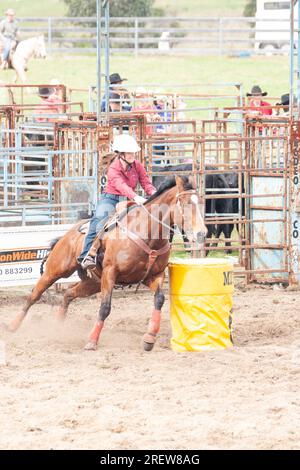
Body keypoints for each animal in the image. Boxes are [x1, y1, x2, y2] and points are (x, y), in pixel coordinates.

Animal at [8, 174, 206, 350]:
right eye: (186, 203)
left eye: (200, 202)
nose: (201, 233)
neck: (147, 235)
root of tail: (68, 234)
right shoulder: (110, 273)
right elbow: (105, 308)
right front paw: (92, 341)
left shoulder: (154, 276)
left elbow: (159, 299)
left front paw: (149, 338)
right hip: (56, 270)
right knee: (34, 295)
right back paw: (13, 326)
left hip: (93, 282)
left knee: (69, 294)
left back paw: (57, 326)